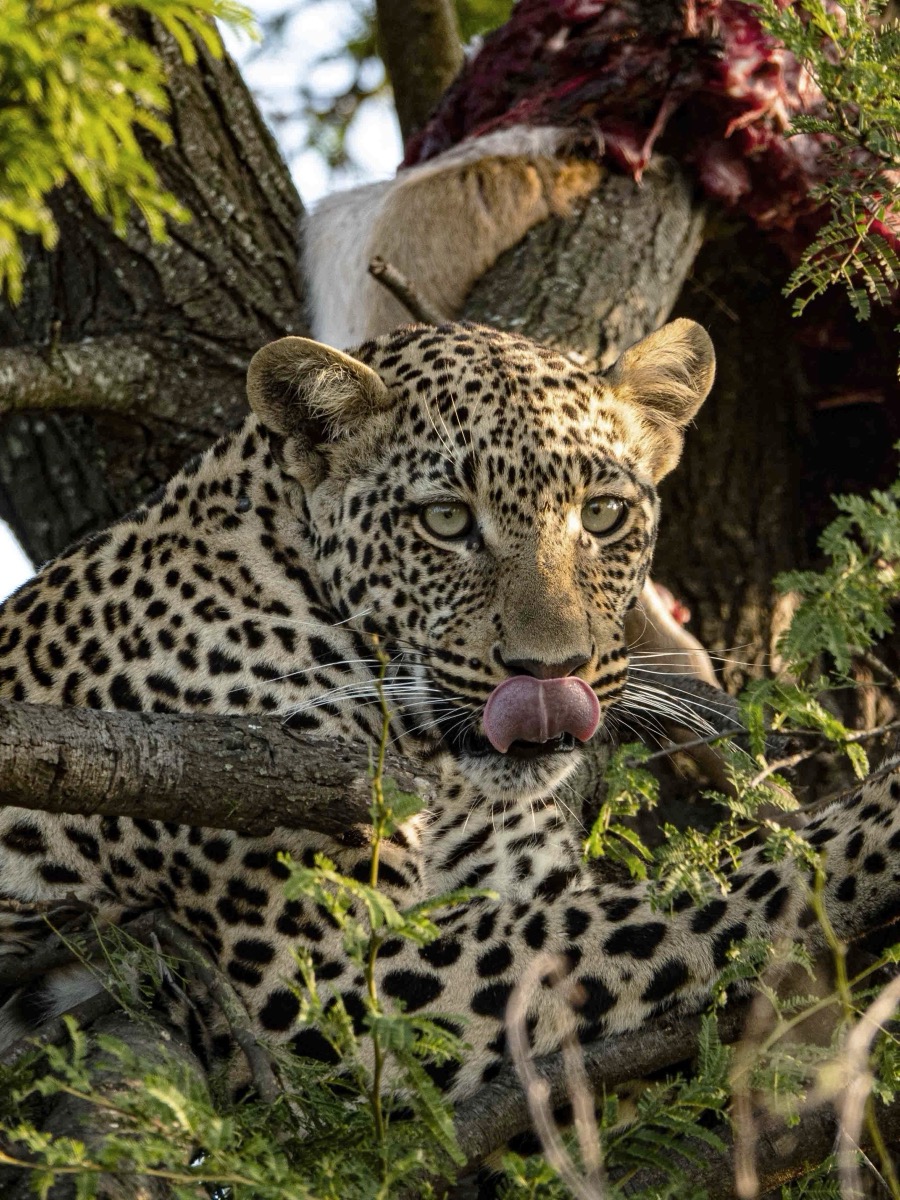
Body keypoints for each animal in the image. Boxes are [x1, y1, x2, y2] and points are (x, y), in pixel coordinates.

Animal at [0, 317, 899, 1114]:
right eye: (444, 520)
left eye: (603, 515)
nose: (549, 672)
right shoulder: (344, 979)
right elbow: (690, 903)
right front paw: (877, 827)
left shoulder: (518, 881)